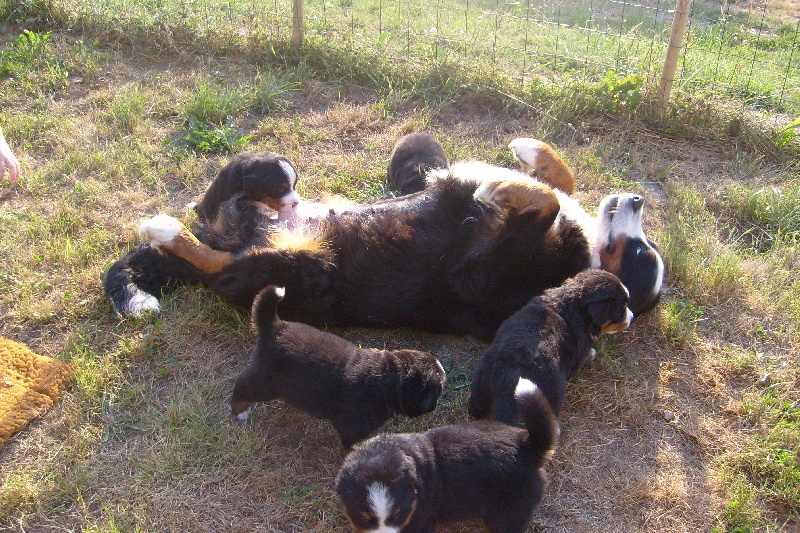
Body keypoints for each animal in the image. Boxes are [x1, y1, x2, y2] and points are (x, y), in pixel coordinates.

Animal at [104, 148, 664, 338]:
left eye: (638, 254)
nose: (637, 198)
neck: (576, 256)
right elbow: (558, 181)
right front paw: (525, 152)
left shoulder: (478, 260)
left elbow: (543, 199)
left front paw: (494, 187)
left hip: (296, 267)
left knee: (215, 261)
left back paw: (164, 229)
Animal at [228, 284, 446, 446]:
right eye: (438, 389)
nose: (435, 405)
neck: (388, 379)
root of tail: (275, 327)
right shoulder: (352, 426)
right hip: (265, 382)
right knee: (242, 386)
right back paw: (240, 410)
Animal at [468, 270, 632, 424]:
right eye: (621, 310)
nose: (631, 317)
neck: (572, 307)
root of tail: (507, 377)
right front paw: (592, 354)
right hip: (551, 389)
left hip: (481, 381)